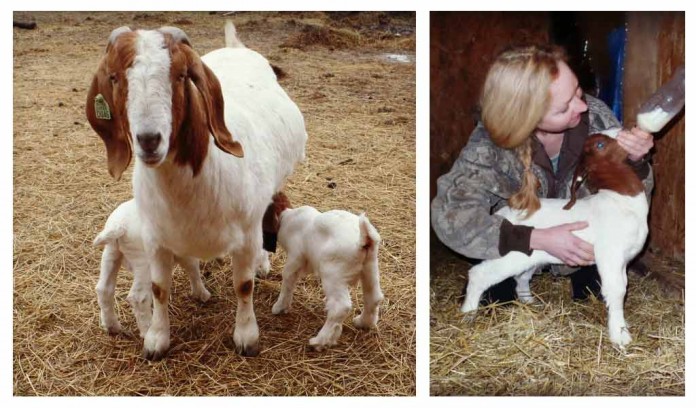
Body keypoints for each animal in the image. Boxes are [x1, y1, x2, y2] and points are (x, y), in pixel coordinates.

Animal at [93, 199, 211, 337]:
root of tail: (119, 226)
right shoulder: (184, 251)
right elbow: (193, 267)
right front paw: (202, 293)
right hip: (144, 262)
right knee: (138, 297)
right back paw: (148, 330)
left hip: (110, 253)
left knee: (104, 289)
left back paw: (111, 326)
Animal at [268, 193, 384, 350]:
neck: (287, 216)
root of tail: (364, 241)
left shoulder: (295, 257)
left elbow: (287, 279)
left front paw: (279, 307)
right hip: (370, 269)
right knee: (373, 297)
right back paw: (363, 323)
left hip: (333, 274)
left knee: (340, 307)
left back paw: (320, 341)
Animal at [460, 134, 648, 348]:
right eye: (600, 144)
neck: (621, 199)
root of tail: (502, 214)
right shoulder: (610, 255)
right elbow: (617, 290)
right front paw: (620, 335)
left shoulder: (624, 260)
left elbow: (624, 284)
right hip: (509, 255)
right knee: (478, 274)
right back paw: (468, 314)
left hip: (532, 257)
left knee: (521, 278)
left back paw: (530, 302)